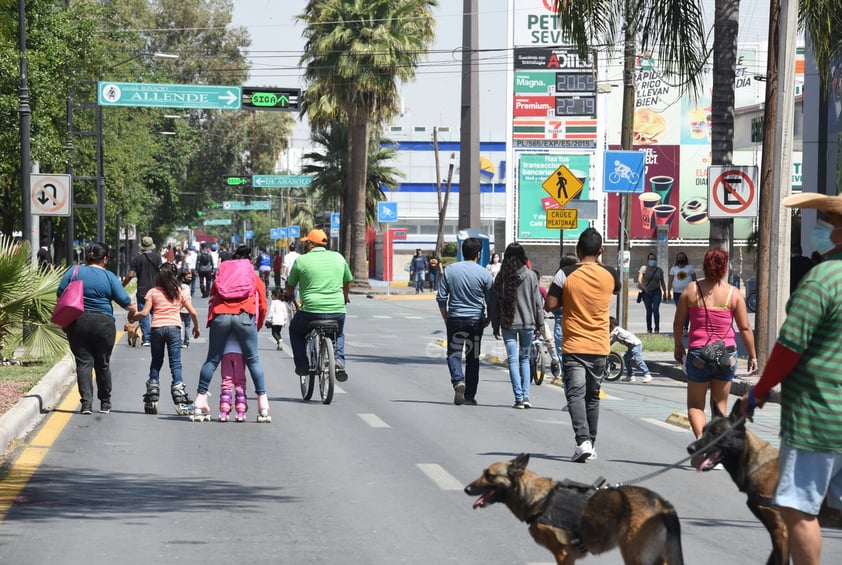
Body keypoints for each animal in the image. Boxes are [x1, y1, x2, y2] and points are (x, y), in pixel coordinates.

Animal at [462, 454, 684, 564]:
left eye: (489, 475)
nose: (466, 489)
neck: (542, 498)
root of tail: (663, 505)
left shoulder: (563, 554)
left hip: (637, 558)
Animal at [684, 396, 836, 564]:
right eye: (703, 431)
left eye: (716, 433)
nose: (690, 449)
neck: (753, 462)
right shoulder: (783, 533)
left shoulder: (780, 531)